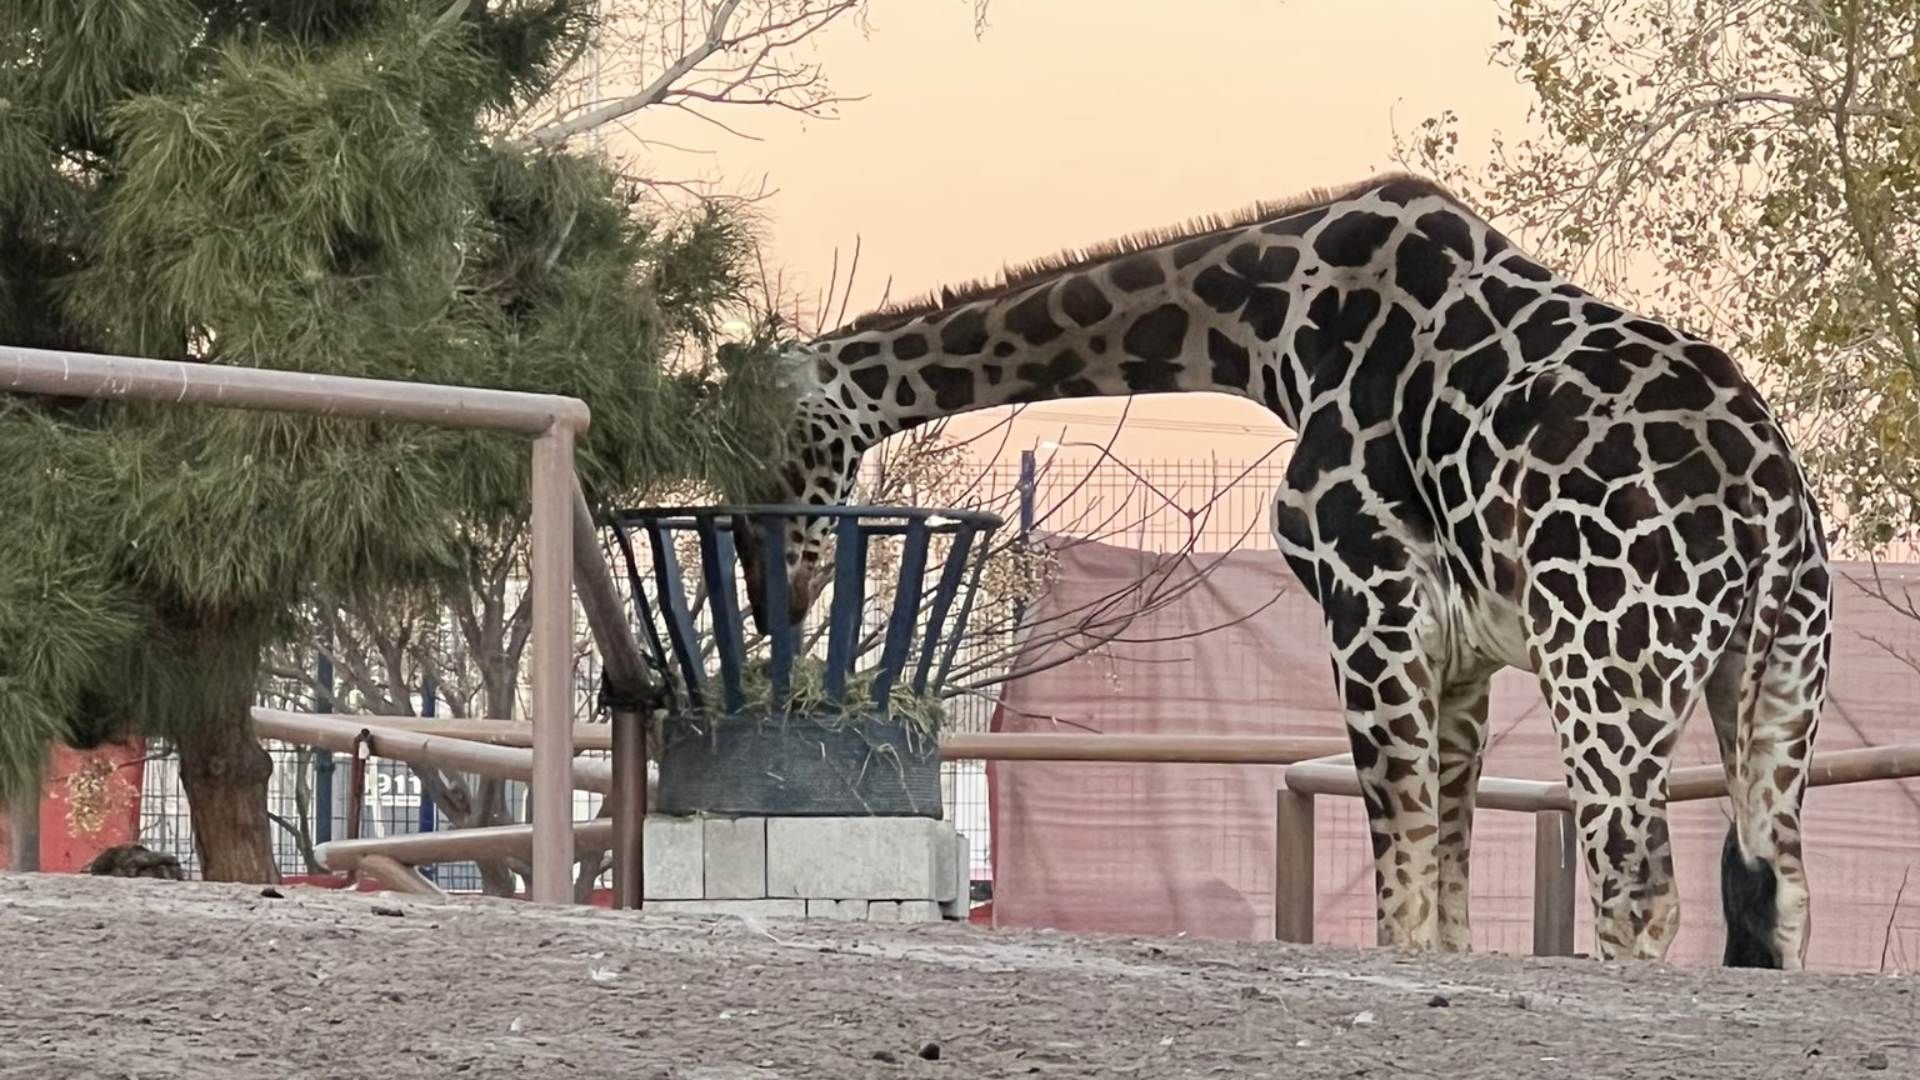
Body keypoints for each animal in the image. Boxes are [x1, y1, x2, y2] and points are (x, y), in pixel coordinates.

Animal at [739, 173, 1833, 969]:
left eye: (770, 452)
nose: (771, 597)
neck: (1270, 329)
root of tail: (1769, 502)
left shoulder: (1370, 607)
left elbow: (1401, 896)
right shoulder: (1461, 656)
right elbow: (1443, 889)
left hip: (1608, 667)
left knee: (1638, 887)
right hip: (1775, 676)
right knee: (1779, 897)